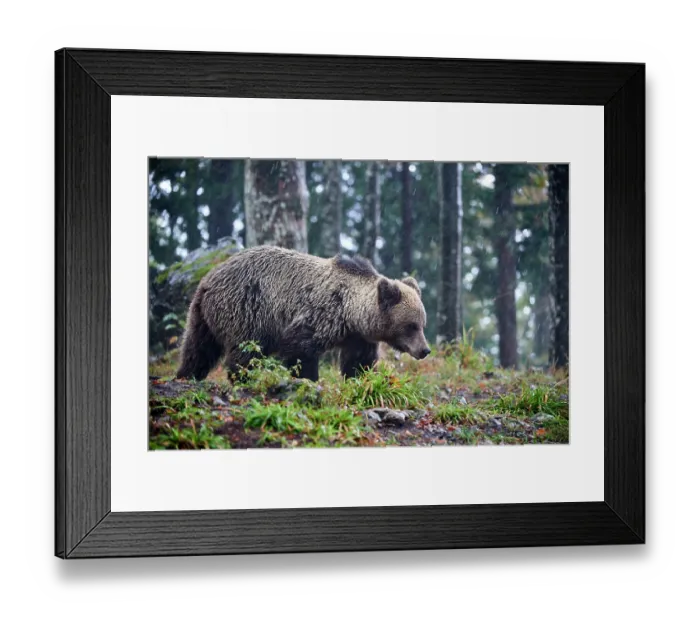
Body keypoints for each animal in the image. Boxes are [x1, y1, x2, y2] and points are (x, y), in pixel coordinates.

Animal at [175, 245, 431, 383]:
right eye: (411, 325)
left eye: (422, 324)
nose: (425, 350)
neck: (351, 314)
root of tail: (208, 278)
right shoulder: (319, 314)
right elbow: (299, 350)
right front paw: (308, 379)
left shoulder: (358, 337)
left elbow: (359, 362)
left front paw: (358, 378)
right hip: (247, 308)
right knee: (245, 350)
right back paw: (244, 377)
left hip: (202, 315)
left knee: (198, 348)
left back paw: (186, 374)